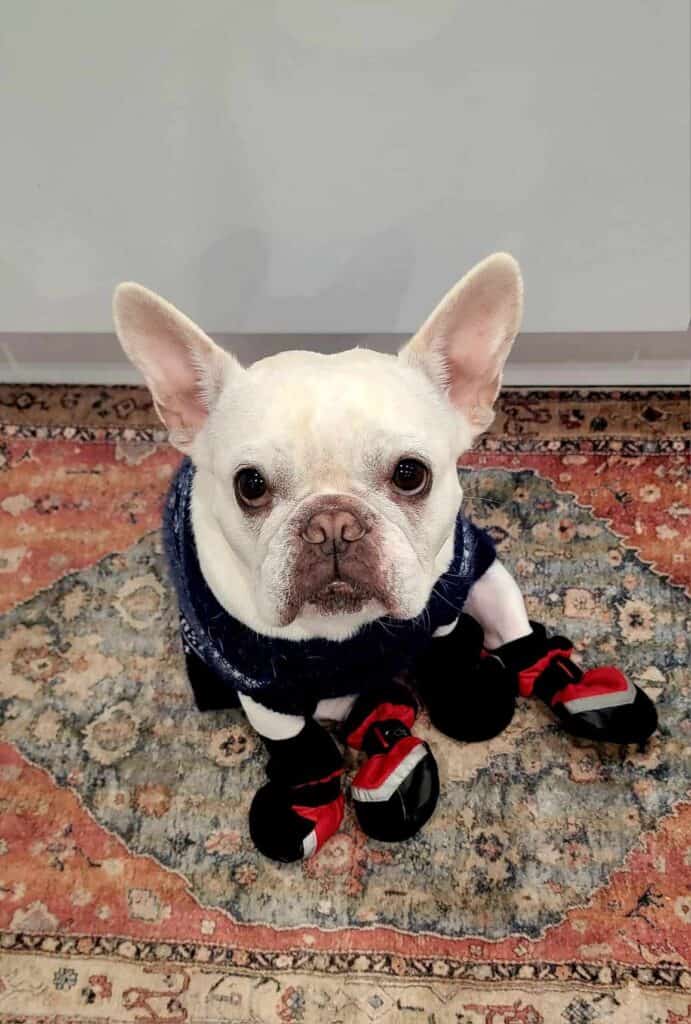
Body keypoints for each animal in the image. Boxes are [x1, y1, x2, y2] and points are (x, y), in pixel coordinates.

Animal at [111, 251, 655, 860]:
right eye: (249, 485)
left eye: (410, 474)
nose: (332, 524)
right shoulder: (263, 688)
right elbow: (299, 747)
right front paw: (303, 802)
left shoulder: (444, 608)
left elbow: (450, 652)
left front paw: (468, 693)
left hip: (486, 575)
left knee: (519, 637)